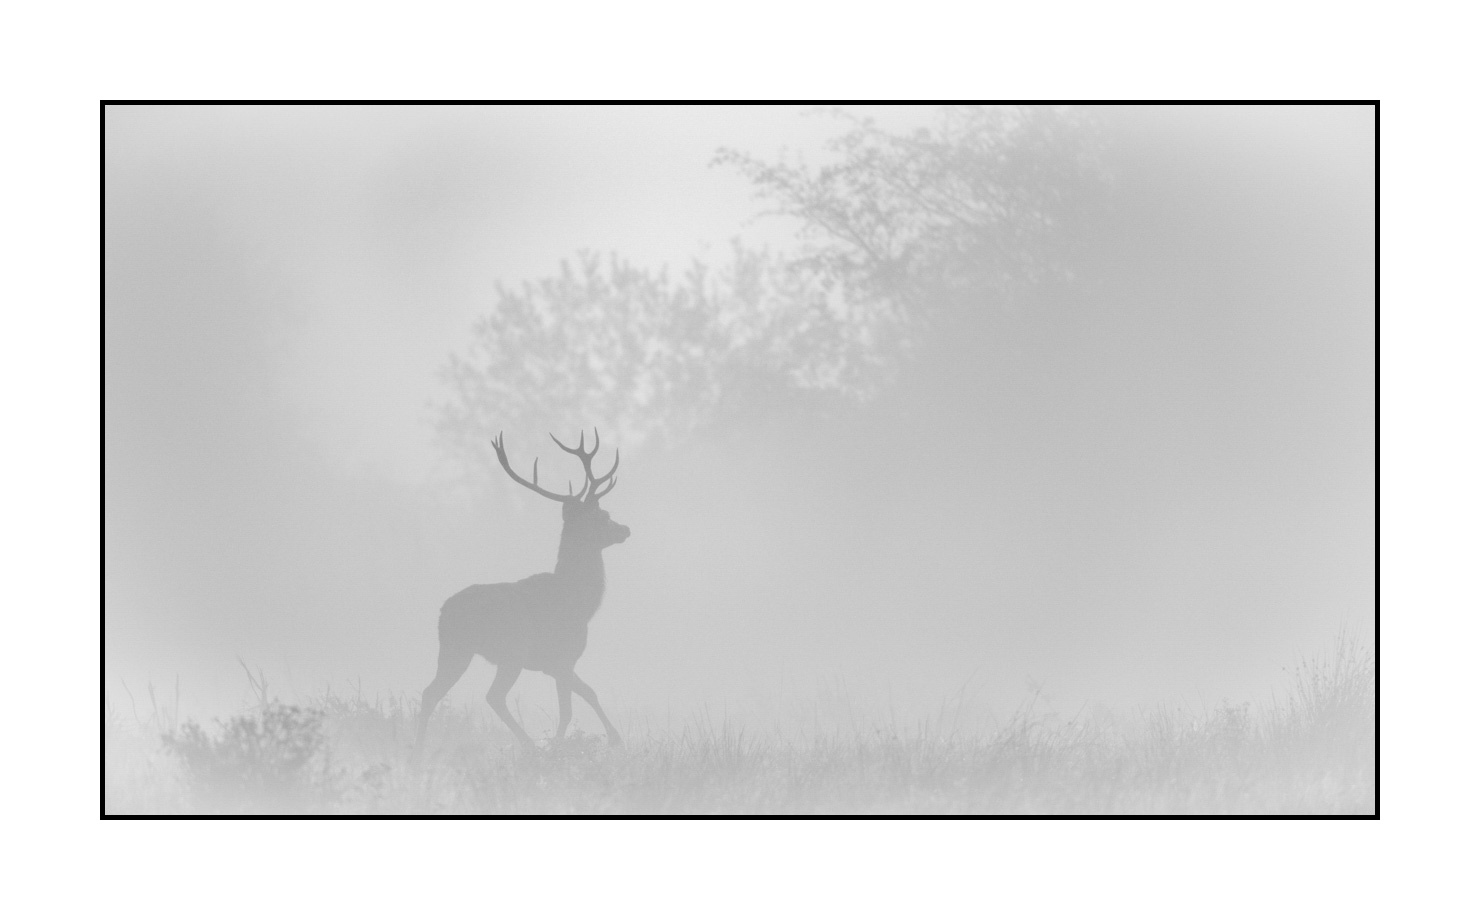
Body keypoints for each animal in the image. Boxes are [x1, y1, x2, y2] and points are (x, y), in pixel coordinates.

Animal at [414, 430, 630, 752]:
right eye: (602, 515)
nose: (625, 529)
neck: (581, 602)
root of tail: (443, 612)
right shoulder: (563, 656)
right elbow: (569, 709)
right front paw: (561, 746)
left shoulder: (553, 665)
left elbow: (588, 692)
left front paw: (614, 738)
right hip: (508, 652)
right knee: (492, 695)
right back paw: (529, 744)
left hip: (454, 648)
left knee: (431, 692)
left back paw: (418, 748)